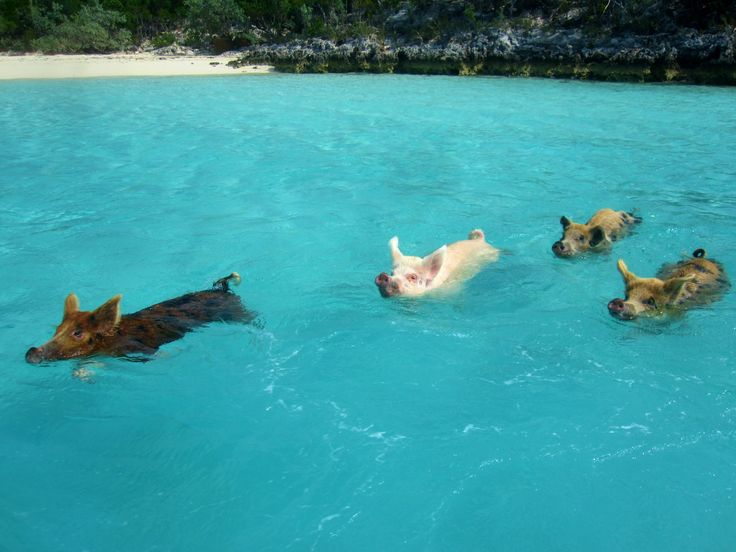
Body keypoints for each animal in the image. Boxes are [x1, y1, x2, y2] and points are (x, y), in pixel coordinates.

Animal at [24, 272, 253, 362]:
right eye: (57, 329)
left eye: (78, 333)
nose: (30, 352)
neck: (112, 338)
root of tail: (224, 288)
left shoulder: (138, 347)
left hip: (238, 312)